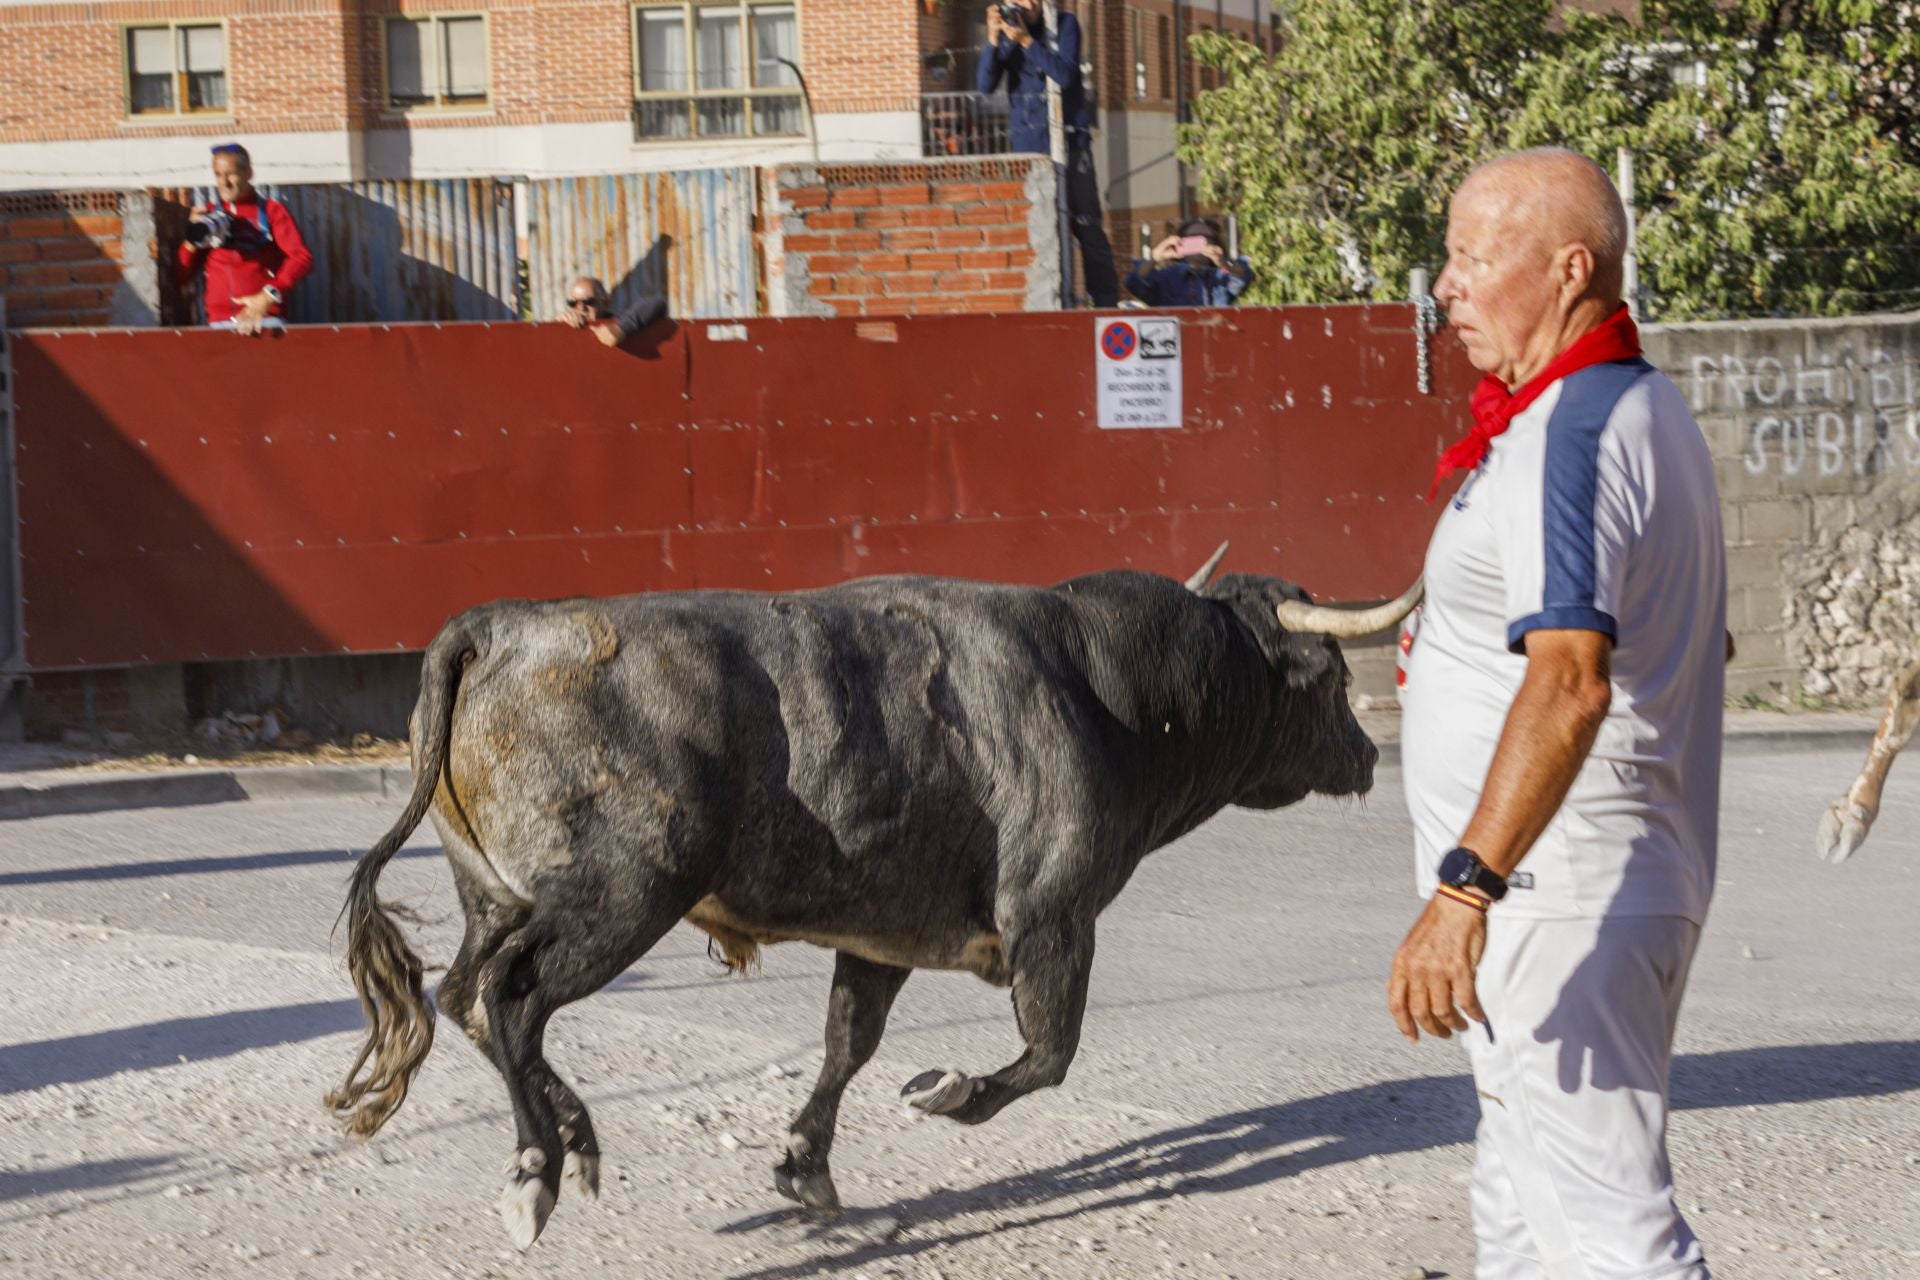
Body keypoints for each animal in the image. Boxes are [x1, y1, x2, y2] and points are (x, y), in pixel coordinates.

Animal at [330, 564, 1397, 1251]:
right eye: (1339, 678)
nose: (1368, 756)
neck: (1106, 687)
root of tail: (504, 624)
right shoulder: (1054, 920)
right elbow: (1049, 1054)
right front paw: (948, 1092)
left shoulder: (882, 934)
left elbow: (850, 1042)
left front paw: (806, 1164)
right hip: (620, 900)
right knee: (513, 999)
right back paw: (537, 1173)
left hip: (495, 899)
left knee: (469, 998)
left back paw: (578, 1140)